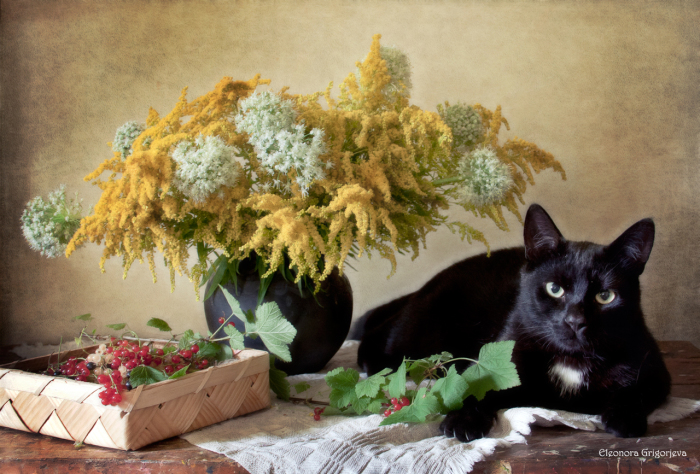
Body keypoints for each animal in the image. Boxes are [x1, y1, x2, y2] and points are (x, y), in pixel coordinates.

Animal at [355, 204, 671, 441]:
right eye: (554, 289)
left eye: (605, 296)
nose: (575, 320)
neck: (571, 361)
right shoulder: (500, 360)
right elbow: (476, 385)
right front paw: (463, 420)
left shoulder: (653, 369)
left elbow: (635, 390)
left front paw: (624, 417)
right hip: (423, 333)